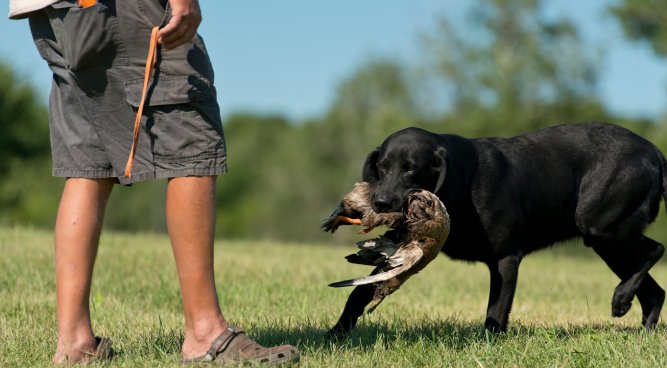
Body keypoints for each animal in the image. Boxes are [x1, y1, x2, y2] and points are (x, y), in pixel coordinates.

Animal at [328, 123, 667, 336]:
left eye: (411, 168)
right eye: (382, 166)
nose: (380, 202)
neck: (462, 187)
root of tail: (655, 152)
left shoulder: (506, 258)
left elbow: (496, 308)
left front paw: (488, 343)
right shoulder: (402, 251)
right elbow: (359, 291)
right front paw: (336, 335)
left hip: (601, 226)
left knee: (656, 250)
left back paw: (622, 298)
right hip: (607, 243)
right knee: (654, 291)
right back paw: (641, 330)